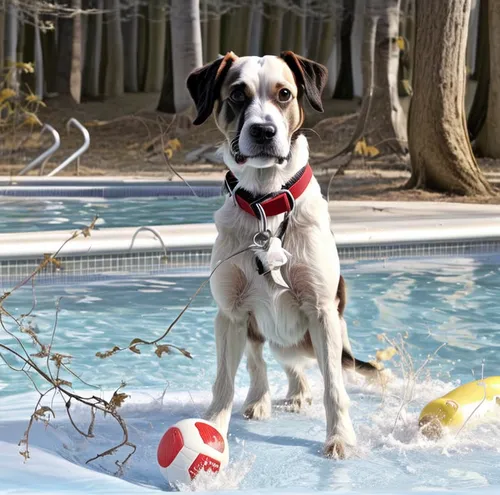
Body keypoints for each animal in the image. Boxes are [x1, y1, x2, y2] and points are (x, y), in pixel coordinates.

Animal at [187, 52, 378, 460]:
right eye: (236, 94)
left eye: (285, 93)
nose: (263, 131)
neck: (266, 201)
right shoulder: (230, 313)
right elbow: (224, 382)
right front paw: (213, 430)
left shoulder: (322, 313)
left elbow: (334, 388)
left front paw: (340, 436)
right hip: (257, 329)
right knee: (263, 360)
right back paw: (266, 397)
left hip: (327, 338)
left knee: (329, 367)